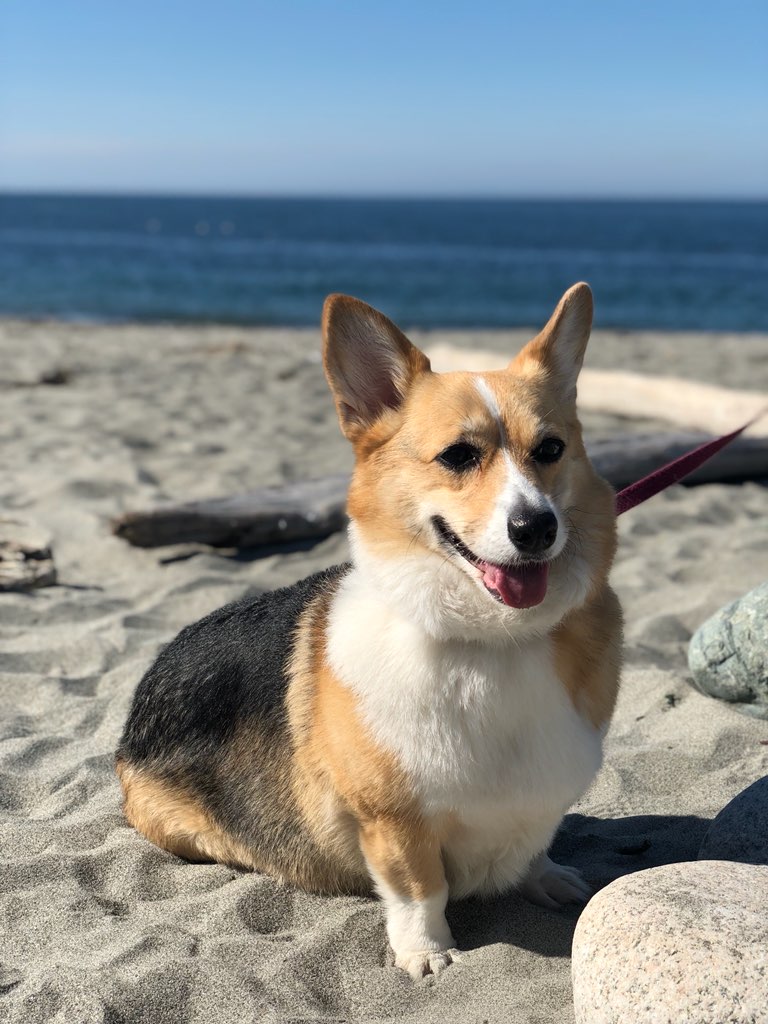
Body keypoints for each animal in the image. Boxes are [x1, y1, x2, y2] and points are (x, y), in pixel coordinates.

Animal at [118, 280, 626, 974]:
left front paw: (544, 878)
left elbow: (534, 845)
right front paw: (428, 954)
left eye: (551, 449)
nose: (537, 527)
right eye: (458, 456)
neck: (492, 638)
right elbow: (420, 890)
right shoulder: (391, 821)